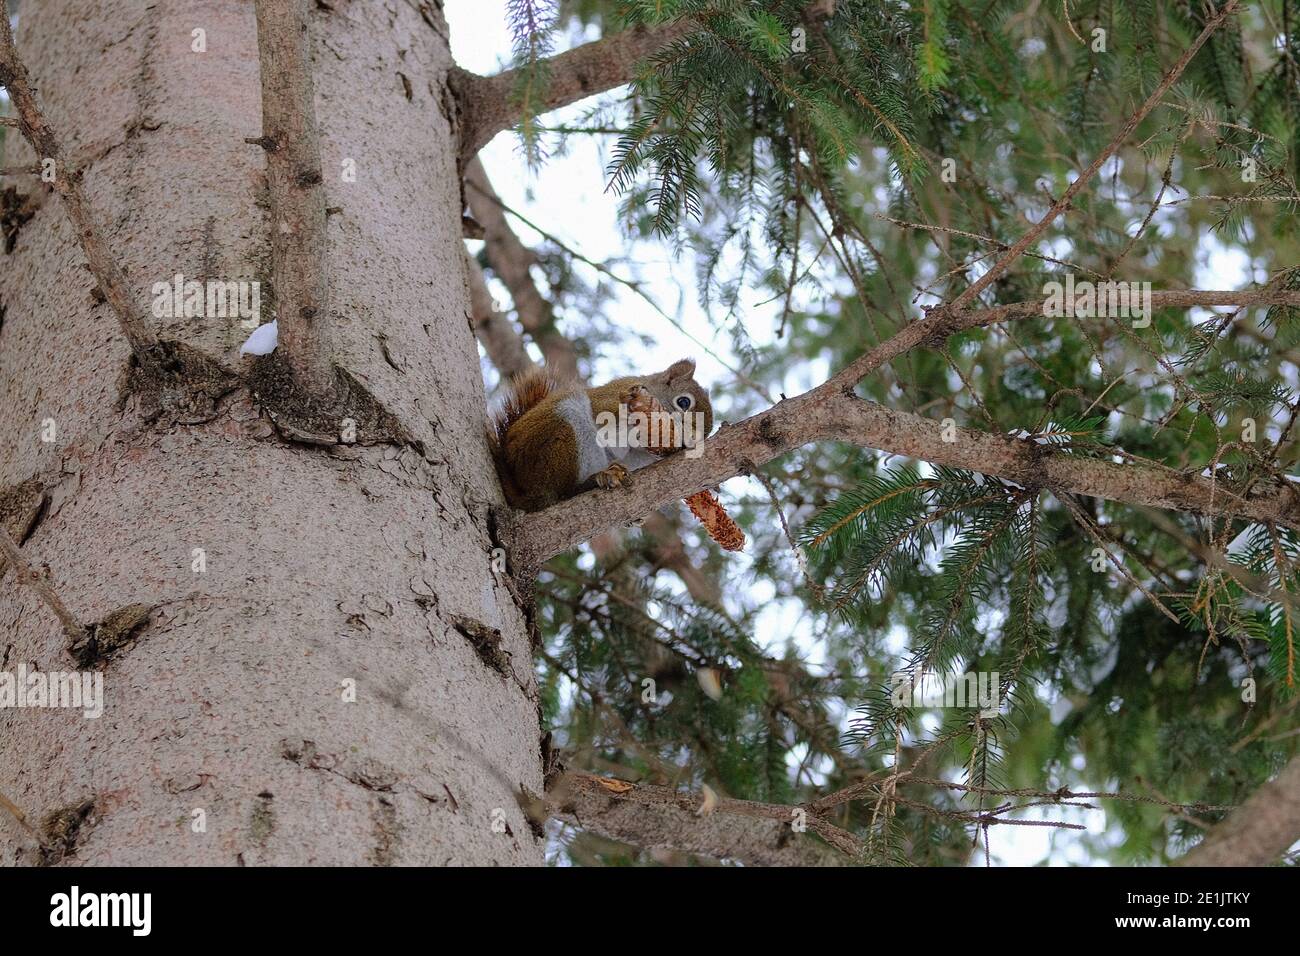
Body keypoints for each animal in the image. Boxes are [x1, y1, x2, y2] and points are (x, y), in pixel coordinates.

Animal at [488, 358, 713, 512]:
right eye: (683, 402)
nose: (689, 437)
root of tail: (525, 491)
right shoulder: (611, 399)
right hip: (559, 436)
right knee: (561, 492)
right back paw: (592, 481)